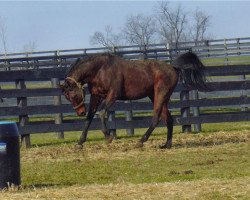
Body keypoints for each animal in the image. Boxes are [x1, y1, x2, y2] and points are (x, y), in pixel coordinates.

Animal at [60, 51, 207, 148]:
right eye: (67, 97)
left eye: (73, 95)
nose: (80, 112)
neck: (100, 69)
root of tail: (173, 67)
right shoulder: (96, 96)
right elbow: (89, 117)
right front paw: (80, 143)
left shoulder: (113, 95)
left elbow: (101, 113)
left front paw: (108, 137)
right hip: (156, 96)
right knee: (168, 119)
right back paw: (166, 144)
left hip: (160, 94)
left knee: (156, 118)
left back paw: (141, 141)